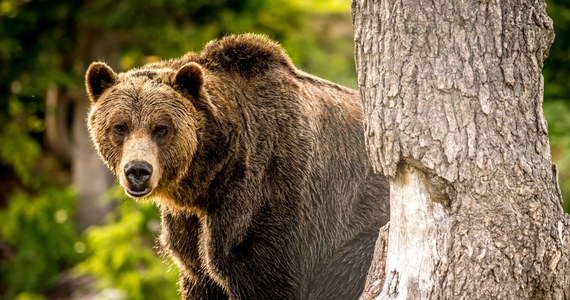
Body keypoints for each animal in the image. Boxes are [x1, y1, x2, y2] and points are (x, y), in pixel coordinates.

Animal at [84, 34, 388, 298]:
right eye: (119, 126)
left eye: (161, 128)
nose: (137, 170)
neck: (209, 178)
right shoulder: (189, 228)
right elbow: (199, 276)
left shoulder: (266, 195)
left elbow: (263, 274)